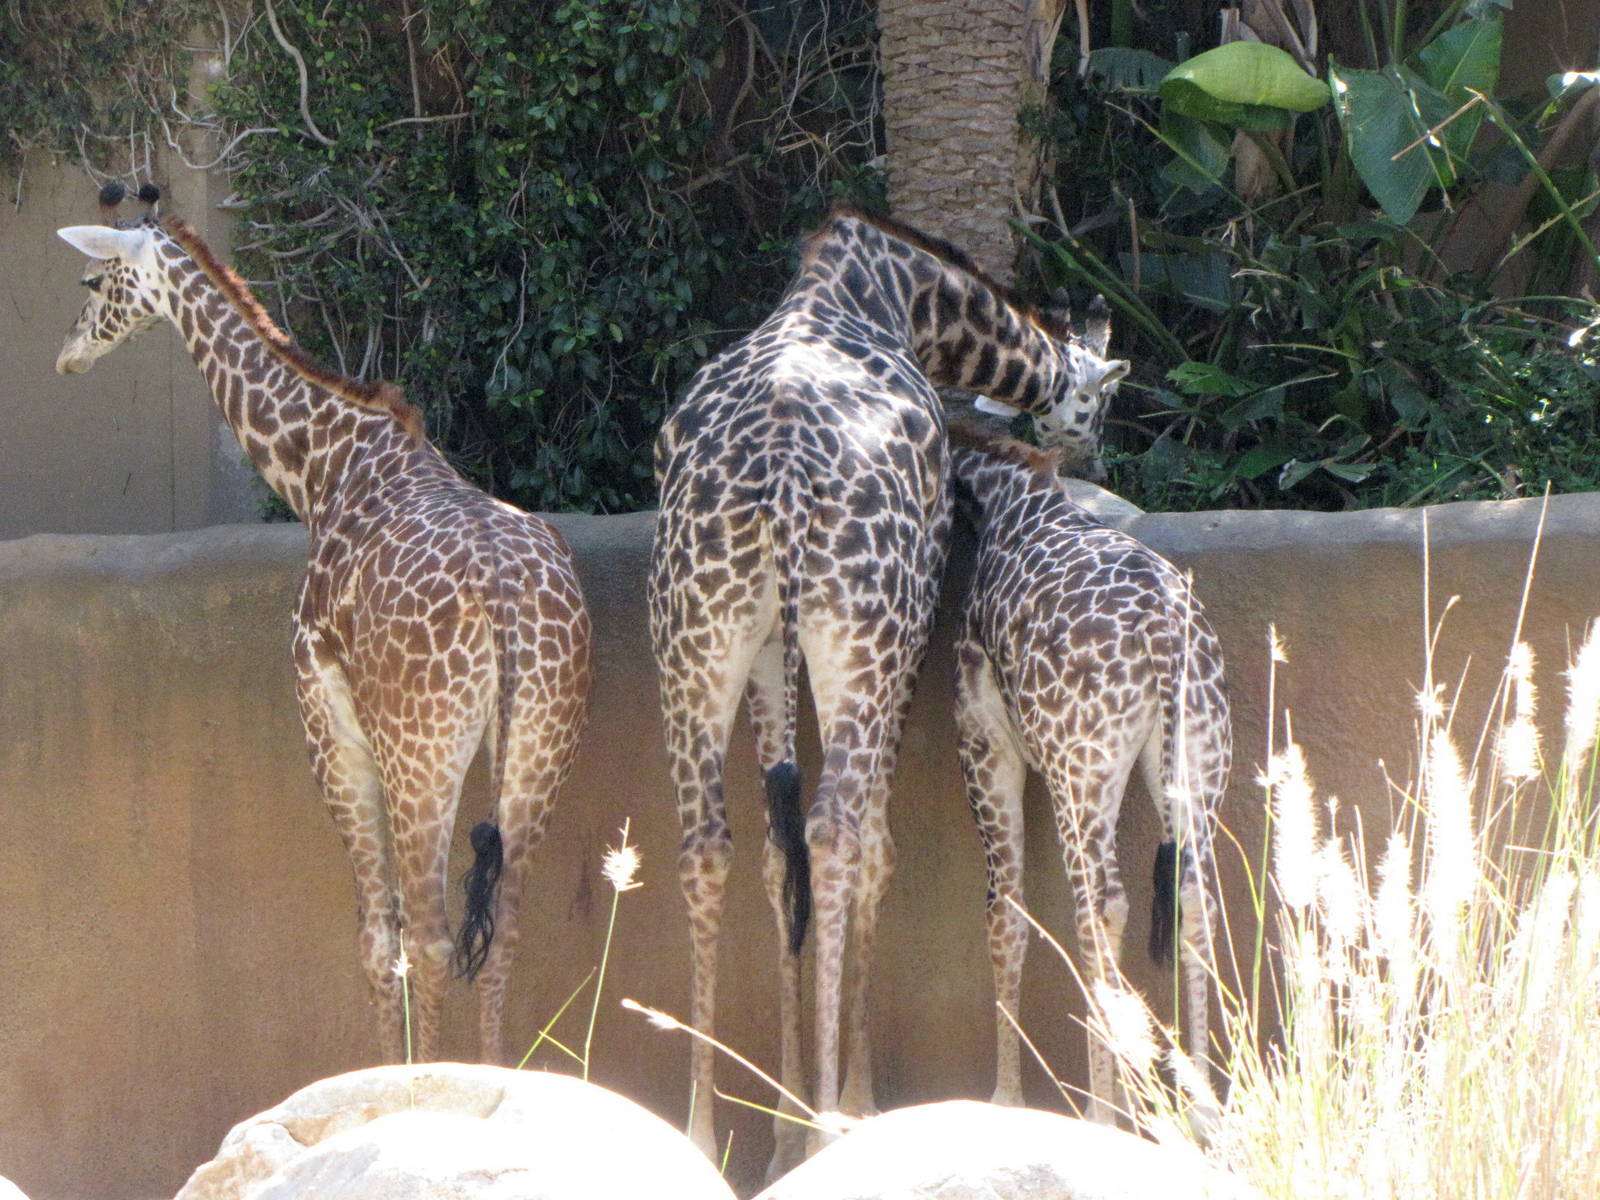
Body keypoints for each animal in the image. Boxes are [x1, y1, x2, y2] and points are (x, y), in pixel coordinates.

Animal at [54, 185, 592, 1065]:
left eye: (94, 282)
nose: (68, 356)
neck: (324, 469)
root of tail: (508, 605)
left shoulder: (328, 724)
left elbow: (377, 943)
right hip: (542, 740)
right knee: (504, 931)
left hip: (423, 751)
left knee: (432, 936)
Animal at [648, 204, 1128, 1172]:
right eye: (1096, 400)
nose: (1094, 455)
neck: (899, 291)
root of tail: (784, 480)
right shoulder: (910, 621)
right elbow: (873, 847)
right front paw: (847, 1103)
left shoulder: (769, 648)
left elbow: (774, 855)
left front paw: (782, 1128)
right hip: (865, 635)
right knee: (839, 833)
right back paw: (835, 1120)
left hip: (696, 636)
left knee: (709, 844)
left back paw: (705, 1134)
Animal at [947, 414, 1231, 1122]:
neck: (1010, 495)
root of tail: (1163, 631)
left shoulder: (985, 741)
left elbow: (1005, 910)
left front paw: (1006, 1098)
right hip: (1197, 755)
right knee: (1194, 896)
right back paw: (1197, 1105)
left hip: (1077, 769)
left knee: (1098, 904)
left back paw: (1105, 1110)